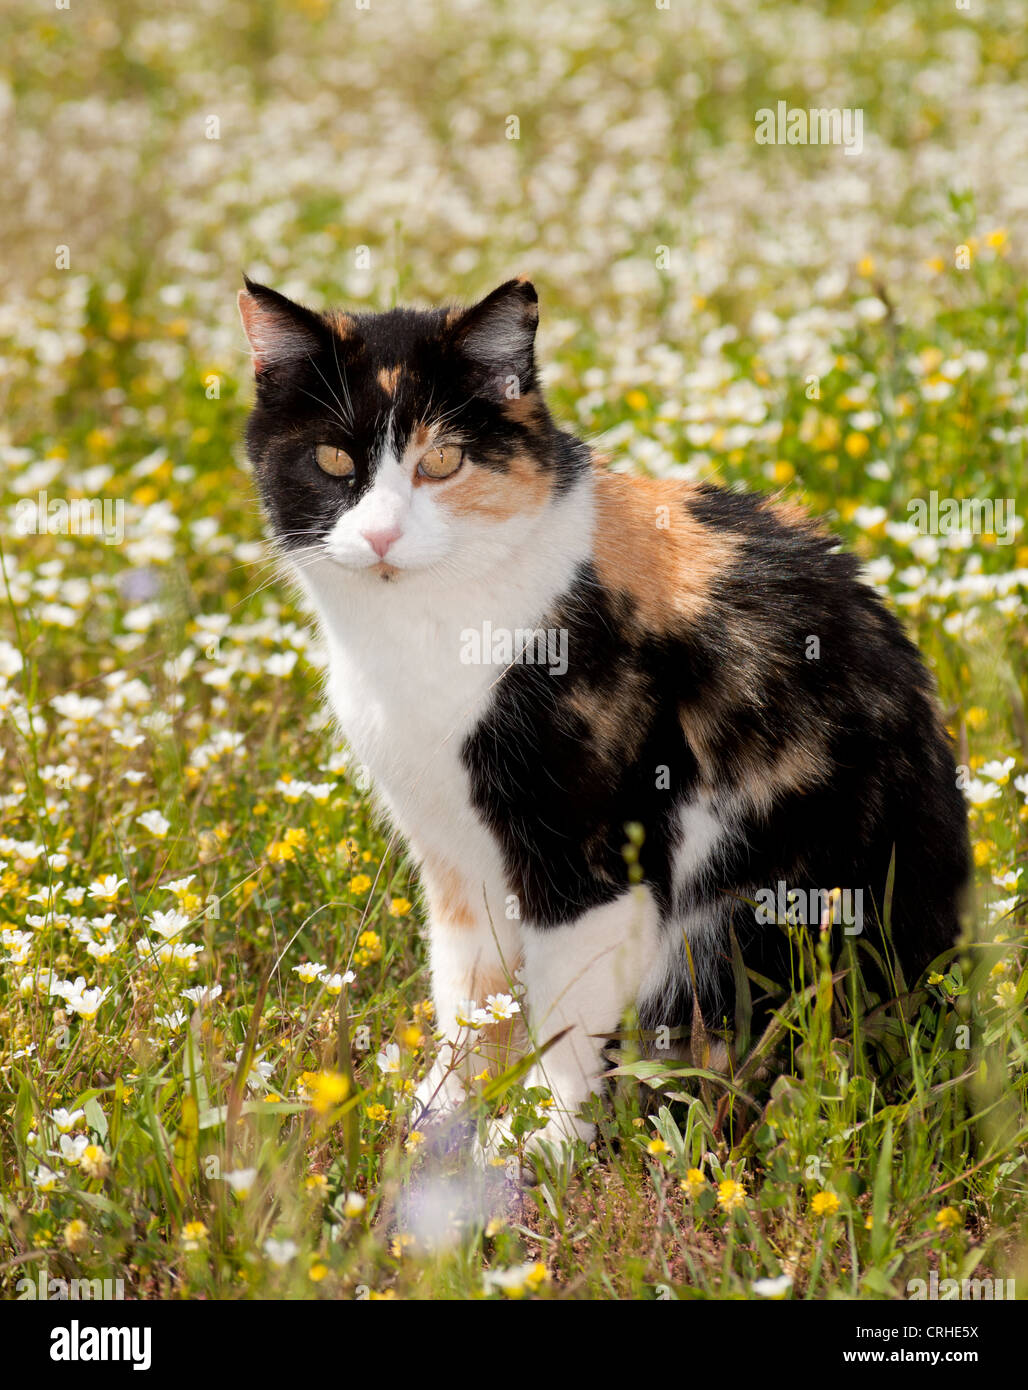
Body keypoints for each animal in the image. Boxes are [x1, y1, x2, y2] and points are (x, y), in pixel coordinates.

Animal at [240, 271, 972, 1150]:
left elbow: (565, 1022)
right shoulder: (453, 859)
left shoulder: (592, 860)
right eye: (331, 459)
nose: (381, 536)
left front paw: (533, 1147)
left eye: (442, 460)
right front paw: (437, 1122)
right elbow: (470, 999)